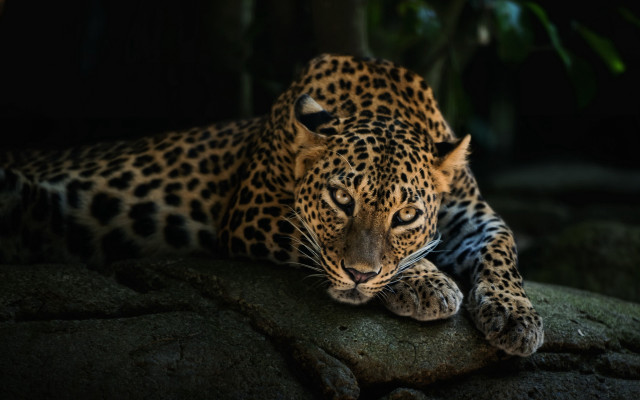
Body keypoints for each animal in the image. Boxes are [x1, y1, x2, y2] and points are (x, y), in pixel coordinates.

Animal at [0, 54, 543, 356]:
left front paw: (516, 316)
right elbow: (318, 242)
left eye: (406, 215)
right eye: (341, 199)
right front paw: (429, 282)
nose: (360, 276)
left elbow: (503, 248)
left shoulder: (473, 215)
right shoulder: (252, 212)